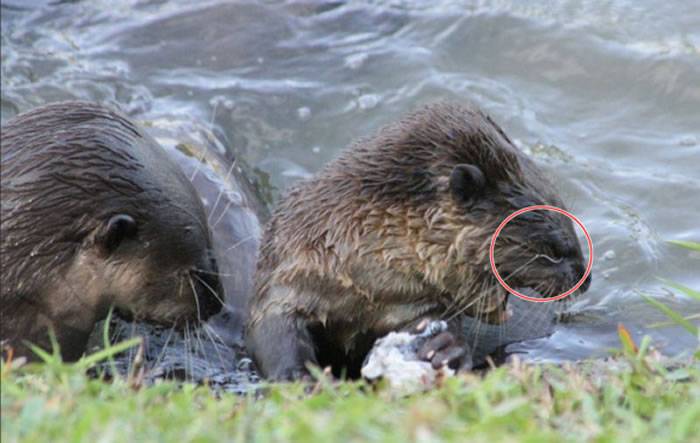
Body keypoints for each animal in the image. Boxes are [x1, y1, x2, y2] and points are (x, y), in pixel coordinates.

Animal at [246, 102, 592, 380]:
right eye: (554, 250)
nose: (584, 279)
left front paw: (445, 347)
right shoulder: (292, 273)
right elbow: (272, 328)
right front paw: (298, 376)